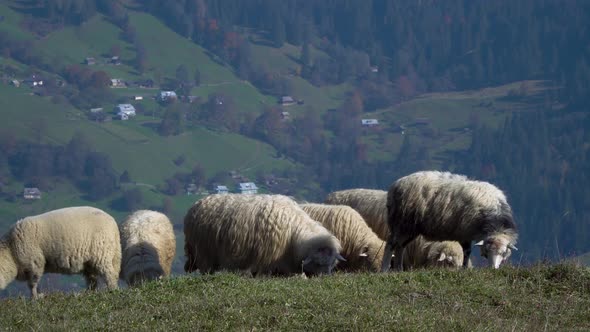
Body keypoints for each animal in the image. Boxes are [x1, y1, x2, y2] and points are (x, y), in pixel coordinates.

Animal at [185, 193, 346, 276]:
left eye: (332, 265)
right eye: (318, 263)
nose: (324, 279)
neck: (293, 233)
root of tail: (196, 204)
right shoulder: (266, 258)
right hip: (204, 253)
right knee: (206, 270)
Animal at [384, 171, 520, 272]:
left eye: (503, 252)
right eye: (487, 251)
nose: (493, 268)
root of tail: (395, 185)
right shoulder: (464, 231)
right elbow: (466, 251)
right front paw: (464, 269)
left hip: (410, 228)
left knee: (400, 247)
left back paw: (399, 270)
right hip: (401, 223)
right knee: (390, 245)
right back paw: (384, 270)